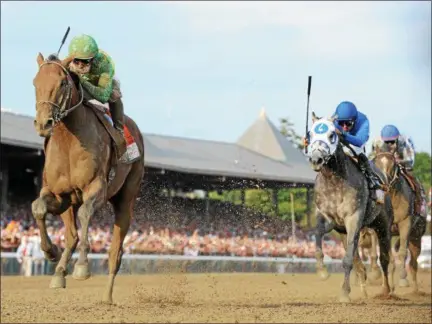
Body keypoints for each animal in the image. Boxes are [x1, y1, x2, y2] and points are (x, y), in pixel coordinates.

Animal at [31, 53, 145, 304]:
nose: (44, 124)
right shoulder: (59, 195)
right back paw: (59, 273)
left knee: (115, 251)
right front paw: (50, 251)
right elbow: (38, 208)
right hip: (69, 203)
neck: (69, 141)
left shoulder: (97, 188)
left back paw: (107, 296)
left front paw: (82, 267)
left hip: (126, 198)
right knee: (72, 236)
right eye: (35, 83)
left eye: (62, 83)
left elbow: (85, 214)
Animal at [308, 112, 394, 302]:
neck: (334, 181)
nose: (316, 159)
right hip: (345, 233)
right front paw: (322, 271)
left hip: (383, 226)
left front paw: (344, 293)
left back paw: (386, 290)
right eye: (310, 134)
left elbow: (347, 260)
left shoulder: (353, 218)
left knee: (385, 259)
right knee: (357, 259)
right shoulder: (328, 218)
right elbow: (317, 233)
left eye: (332, 135)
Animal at [372, 146, 428, 292]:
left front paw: (403, 279)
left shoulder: (405, 223)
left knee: (413, 261)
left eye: (393, 164)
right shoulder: (379, 228)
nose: (383, 184)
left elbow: (402, 253)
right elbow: (382, 255)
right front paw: (382, 282)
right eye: (374, 163)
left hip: (416, 236)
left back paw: (415, 289)